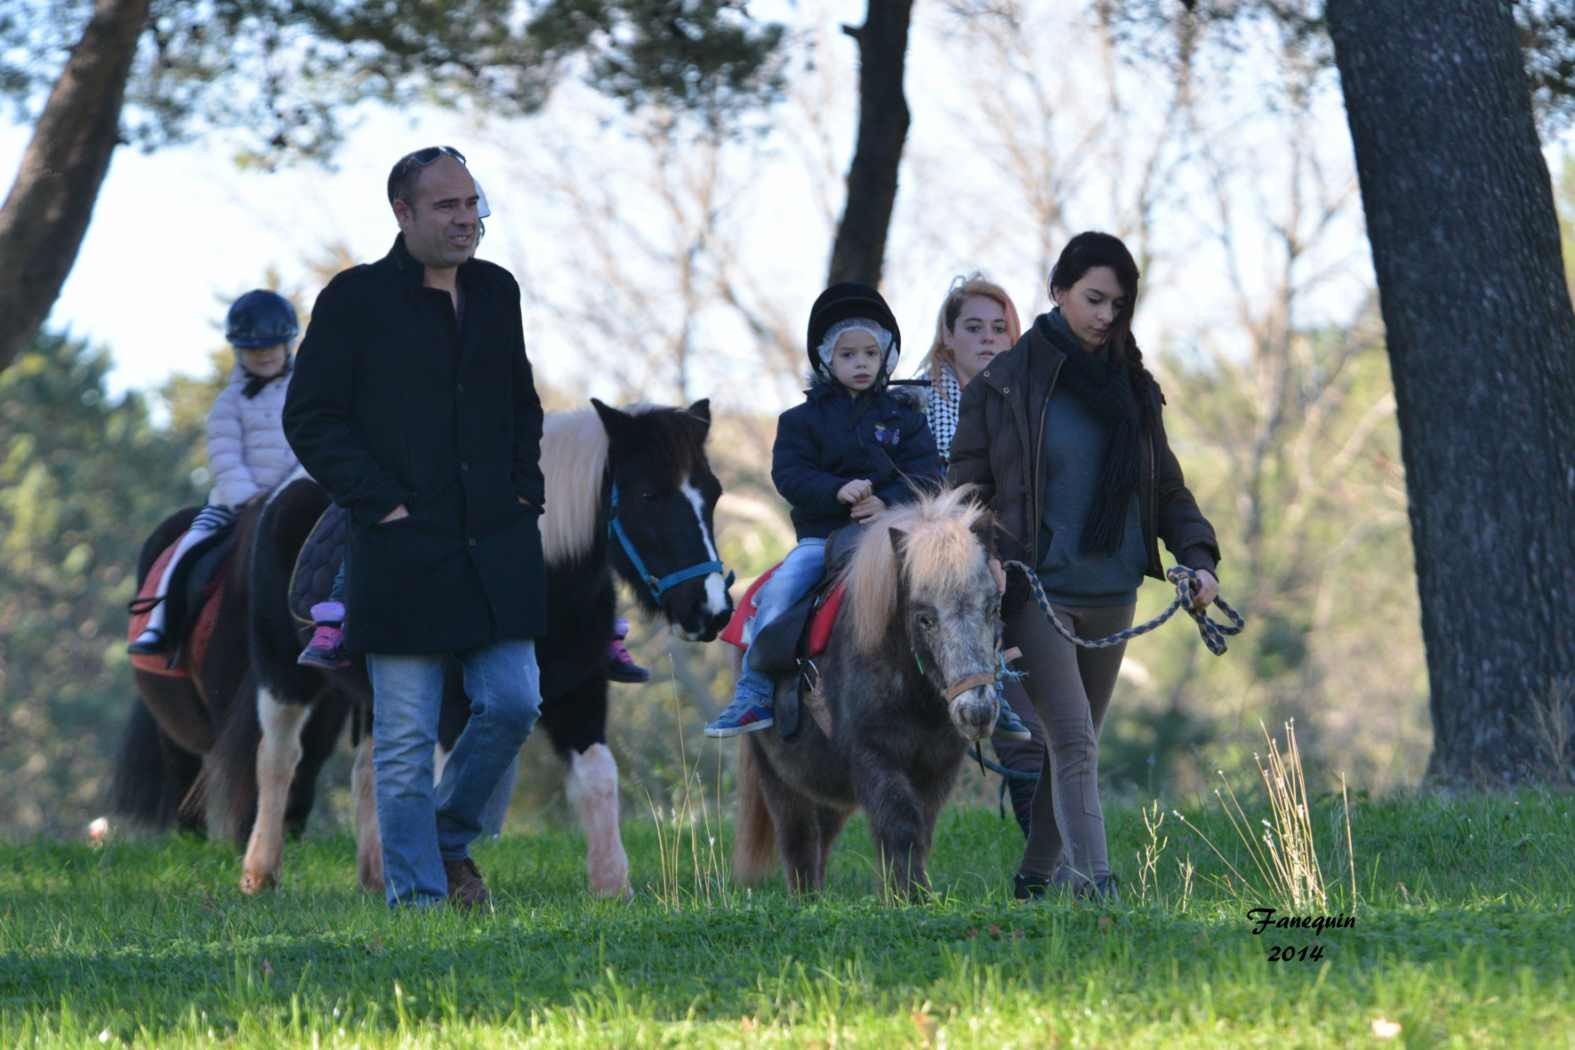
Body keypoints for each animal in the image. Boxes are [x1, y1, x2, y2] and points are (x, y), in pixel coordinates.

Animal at [116, 398, 730, 900]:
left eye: (713, 494)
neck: (540, 580)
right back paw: (261, 873)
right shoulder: (455, 705)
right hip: (282, 676)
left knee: (368, 771)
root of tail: (276, 497)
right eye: (649, 495)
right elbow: (442, 782)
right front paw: (448, 880)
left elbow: (598, 777)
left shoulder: (581, 692)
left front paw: (612, 884)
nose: (713, 610)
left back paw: (376, 875)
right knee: (278, 761)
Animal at [730, 488, 1001, 900]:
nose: (977, 712)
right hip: (778, 776)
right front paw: (911, 897)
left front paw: (906, 893)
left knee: (821, 836)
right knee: (797, 837)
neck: (915, 696)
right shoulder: (875, 758)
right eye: (924, 617)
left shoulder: (938, 768)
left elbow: (920, 828)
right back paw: (806, 899)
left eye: (991, 608)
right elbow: (900, 824)